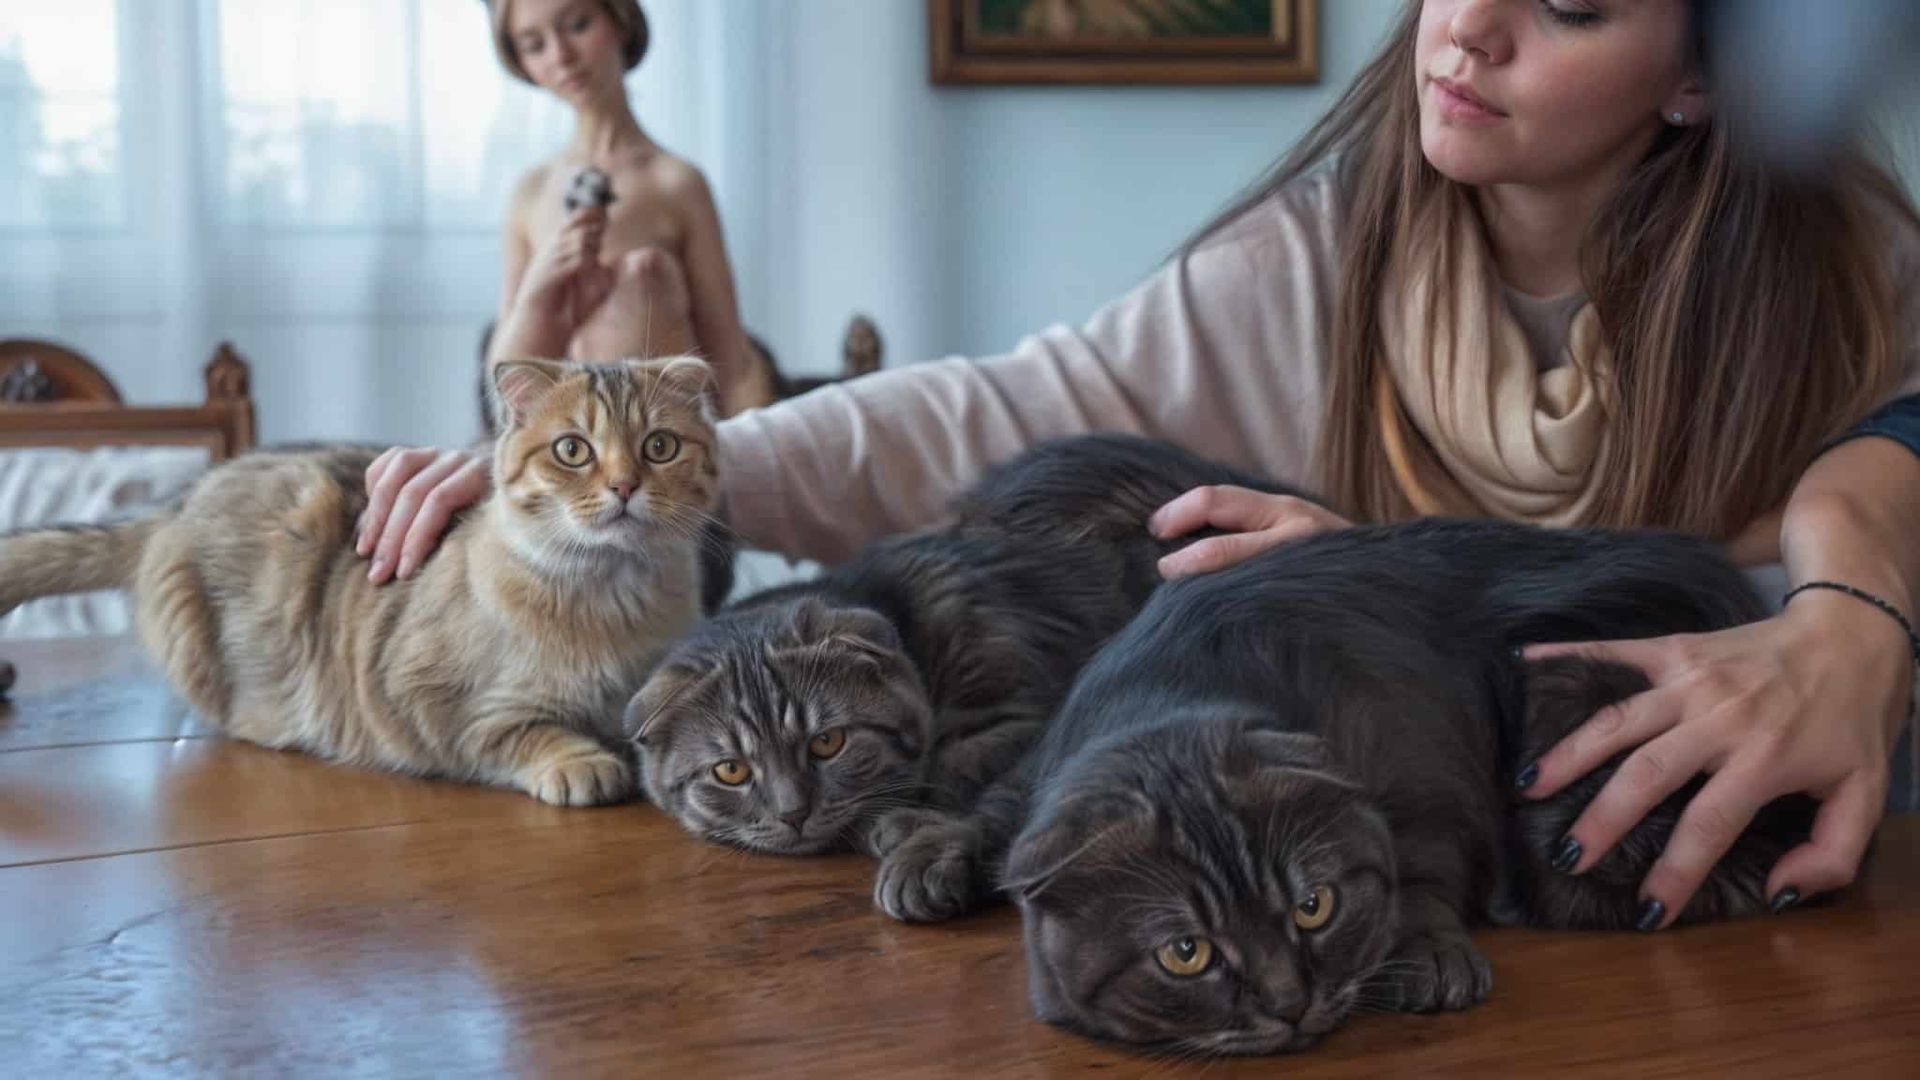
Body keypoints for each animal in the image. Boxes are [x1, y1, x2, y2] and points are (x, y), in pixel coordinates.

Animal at [0, 359, 718, 799]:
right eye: (573, 450)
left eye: (659, 447)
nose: (624, 487)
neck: (613, 599)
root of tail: (173, 507)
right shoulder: (432, 701)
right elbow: (514, 730)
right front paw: (578, 759)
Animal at [622, 432, 1313, 910]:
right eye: (731, 771)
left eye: (828, 742)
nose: (792, 813)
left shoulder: (1028, 707)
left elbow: (960, 763)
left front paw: (908, 826)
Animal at [960, 522, 1812, 1053]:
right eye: (1185, 954)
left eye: (1311, 907)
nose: (1286, 1002)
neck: (1181, 685)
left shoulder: (1415, 758)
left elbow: (1415, 866)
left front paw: (1429, 953)